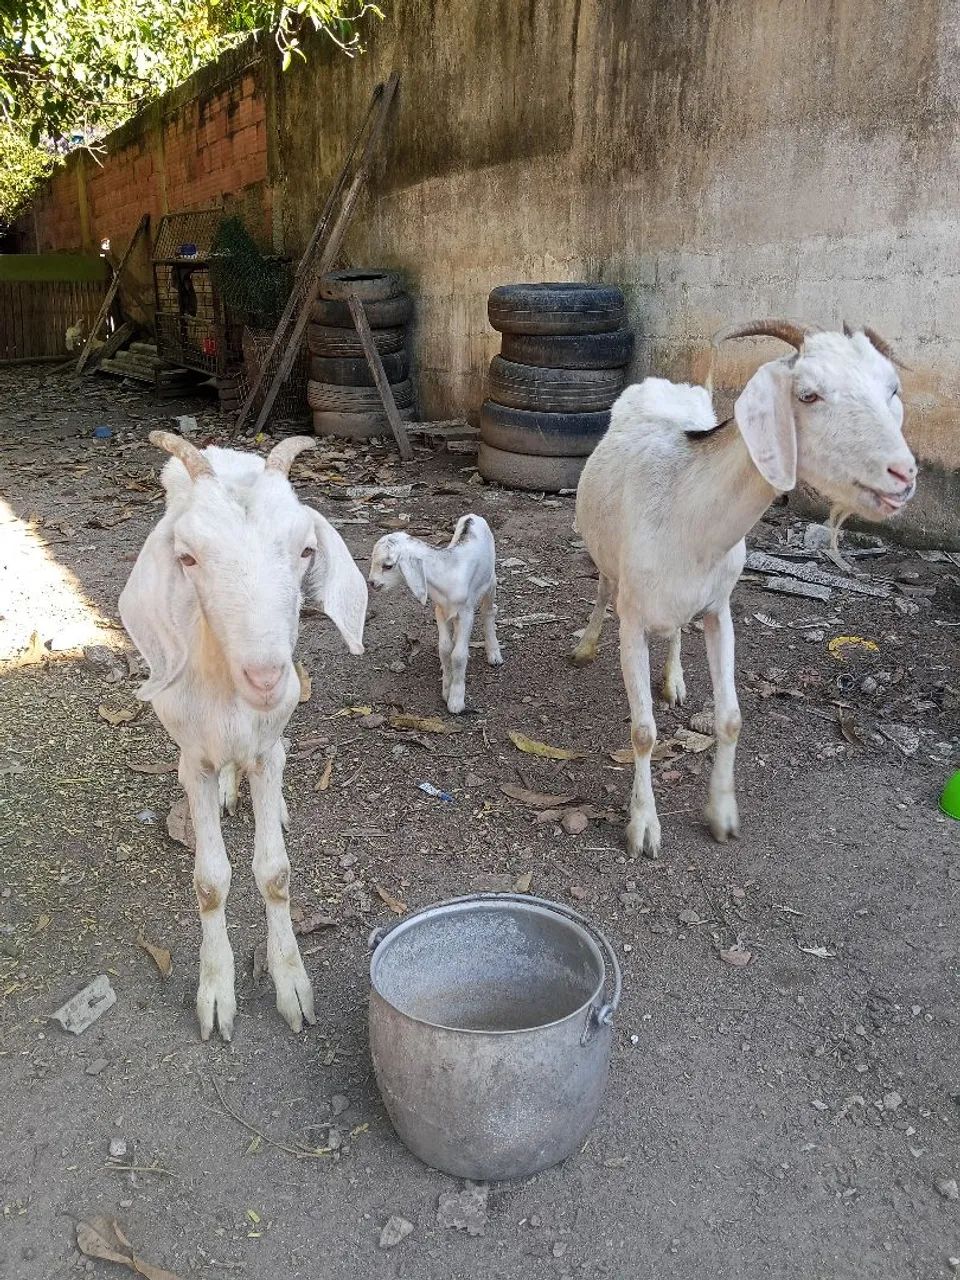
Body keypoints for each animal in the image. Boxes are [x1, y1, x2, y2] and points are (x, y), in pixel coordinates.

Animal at [119, 432, 367, 1040]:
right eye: (187, 558)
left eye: (306, 551)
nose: (266, 676)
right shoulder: (192, 761)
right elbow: (210, 881)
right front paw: (216, 992)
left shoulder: (268, 750)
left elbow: (275, 873)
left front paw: (292, 984)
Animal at [368, 514, 502, 713]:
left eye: (388, 566)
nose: (372, 583)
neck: (446, 572)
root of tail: (473, 516)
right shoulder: (440, 610)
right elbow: (445, 649)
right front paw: (446, 687)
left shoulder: (466, 612)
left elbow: (458, 655)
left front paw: (456, 700)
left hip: (490, 581)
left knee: (488, 612)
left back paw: (494, 654)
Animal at [573, 320, 917, 858]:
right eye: (808, 394)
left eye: (892, 389)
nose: (903, 475)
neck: (689, 516)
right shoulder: (632, 620)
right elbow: (644, 731)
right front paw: (644, 827)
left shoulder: (720, 610)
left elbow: (731, 717)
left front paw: (722, 813)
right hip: (605, 553)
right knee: (604, 587)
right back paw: (586, 645)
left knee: (675, 629)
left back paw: (673, 678)